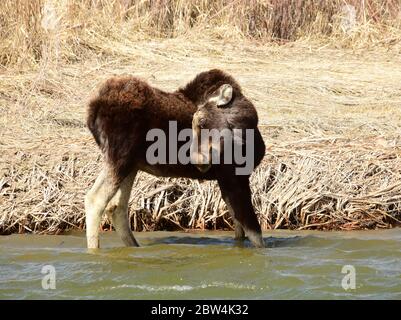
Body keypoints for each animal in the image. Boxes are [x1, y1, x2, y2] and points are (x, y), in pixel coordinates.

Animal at [86, 69, 264, 249]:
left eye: (201, 121)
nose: (198, 160)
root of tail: (93, 110)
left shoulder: (227, 179)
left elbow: (239, 231)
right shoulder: (234, 176)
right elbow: (254, 232)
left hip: (129, 164)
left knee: (116, 206)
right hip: (120, 157)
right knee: (96, 198)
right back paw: (95, 250)